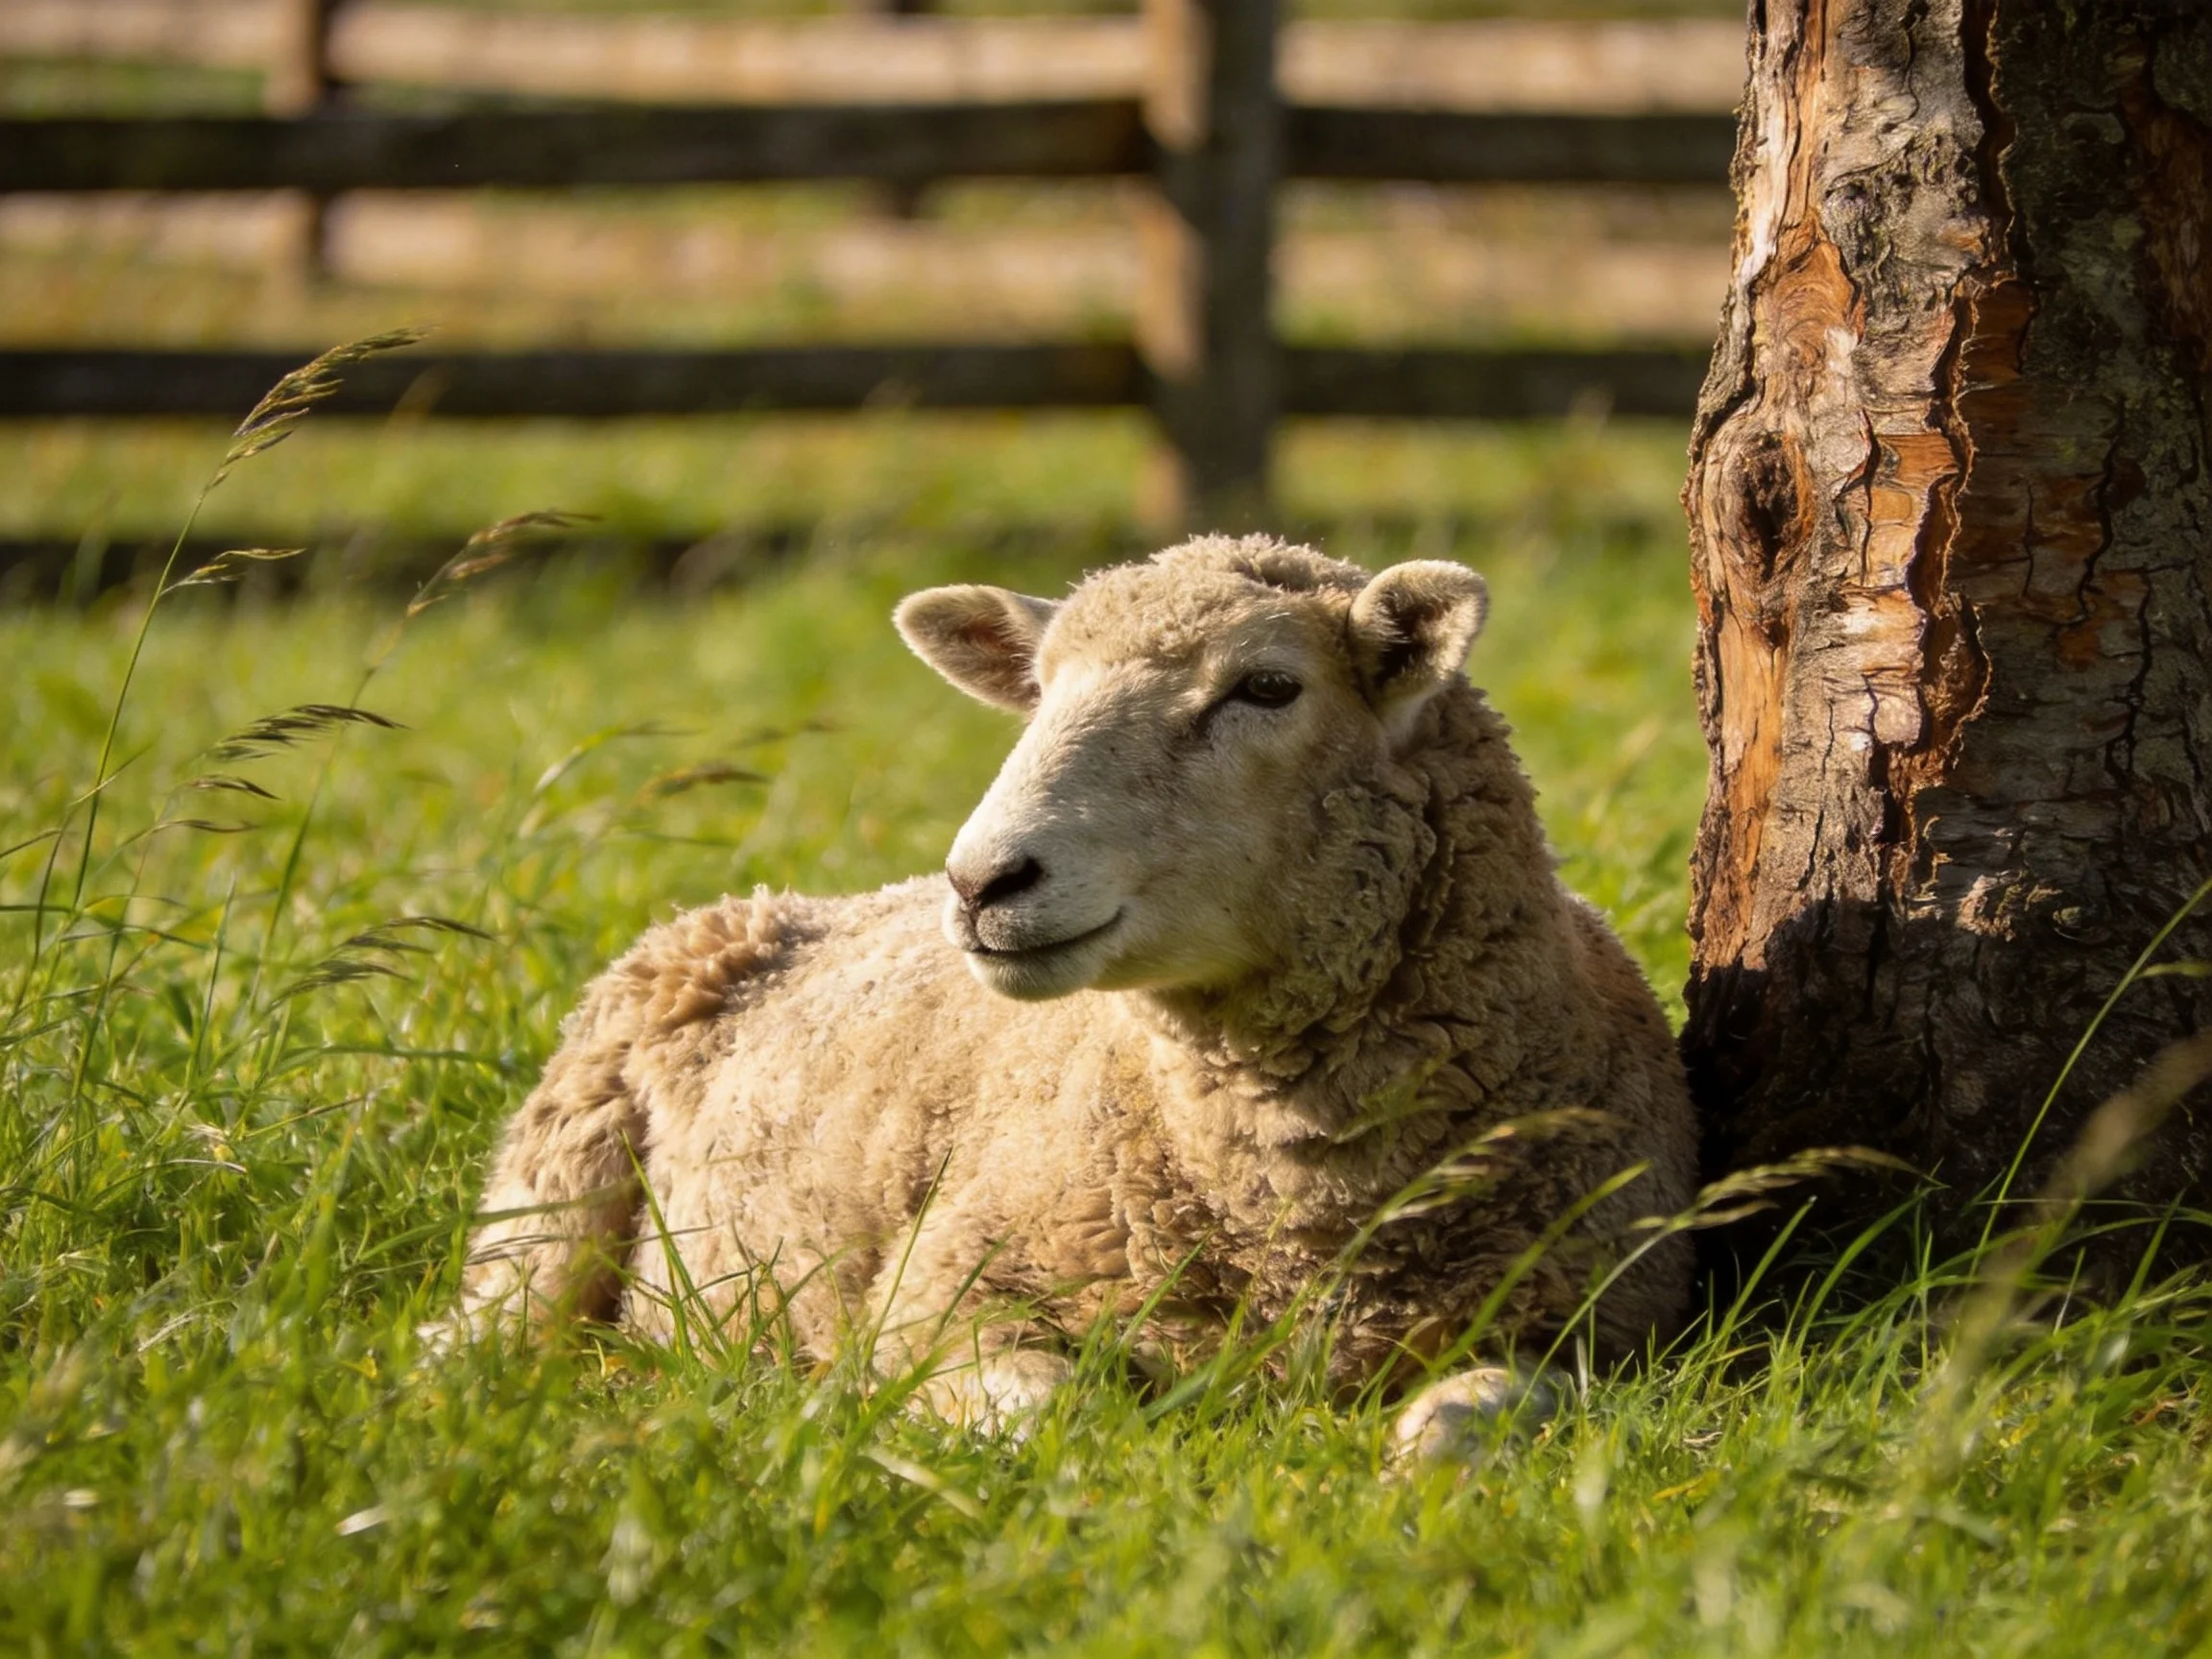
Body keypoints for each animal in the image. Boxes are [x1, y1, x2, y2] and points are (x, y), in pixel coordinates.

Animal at [443, 535, 1698, 1454]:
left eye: (1267, 687)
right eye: (1039, 692)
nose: (982, 881)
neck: (1294, 1214)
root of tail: (781, 902)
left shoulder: (1610, 1325)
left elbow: (1468, 1421)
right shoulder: (934, 1294)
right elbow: (1065, 1418)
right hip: (546, 1209)